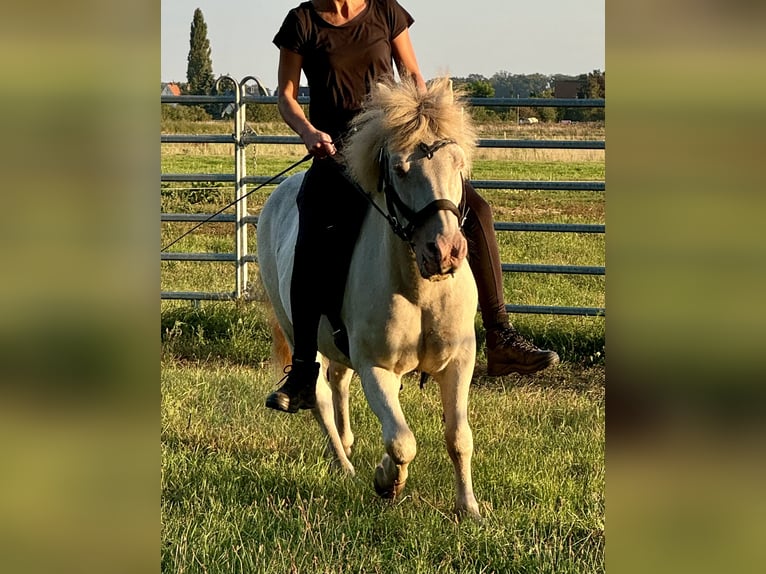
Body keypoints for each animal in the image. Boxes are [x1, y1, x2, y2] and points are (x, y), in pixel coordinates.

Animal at [260, 77, 484, 520]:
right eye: (399, 170)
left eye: (456, 163)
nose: (445, 251)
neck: (419, 289)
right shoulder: (377, 368)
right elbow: (401, 440)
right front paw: (385, 481)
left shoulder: (459, 362)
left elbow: (458, 436)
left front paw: (468, 508)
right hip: (299, 334)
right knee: (319, 395)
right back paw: (344, 465)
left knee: (338, 381)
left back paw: (348, 445)